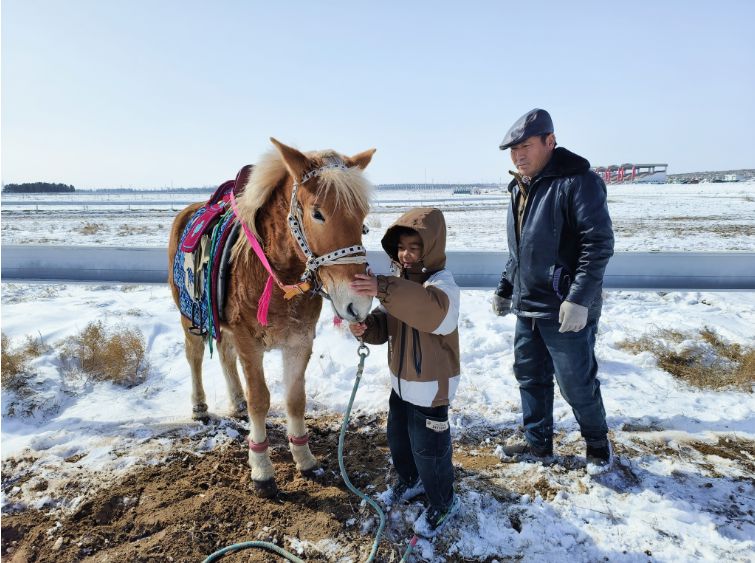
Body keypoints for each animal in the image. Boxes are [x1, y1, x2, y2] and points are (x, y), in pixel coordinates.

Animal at [168, 139, 376, 496]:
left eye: (362, 218)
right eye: (317, 212)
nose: (358, 303)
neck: (277, 276)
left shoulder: (300, 341)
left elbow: (295, 399)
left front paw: (304, 458)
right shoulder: (249, 342)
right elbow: (260, 401)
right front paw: (262, 470)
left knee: (225, 355)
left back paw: (235, 401)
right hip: (190, 316)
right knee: (194, 356)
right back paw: (200, 406)